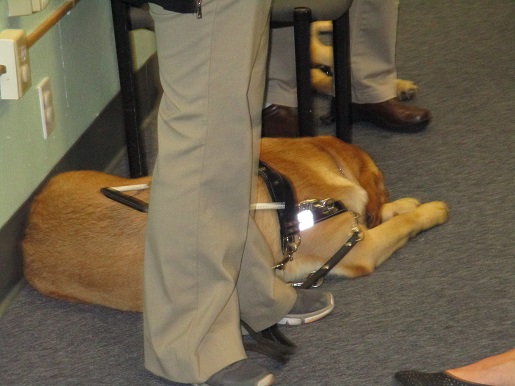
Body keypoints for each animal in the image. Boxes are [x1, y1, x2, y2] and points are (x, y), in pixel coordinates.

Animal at [22, 137, 450, 312]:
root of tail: (25, 240)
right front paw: (430, 210)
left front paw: (402, 203)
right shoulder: (360, 248)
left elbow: (390, 213)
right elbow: (403, 223)